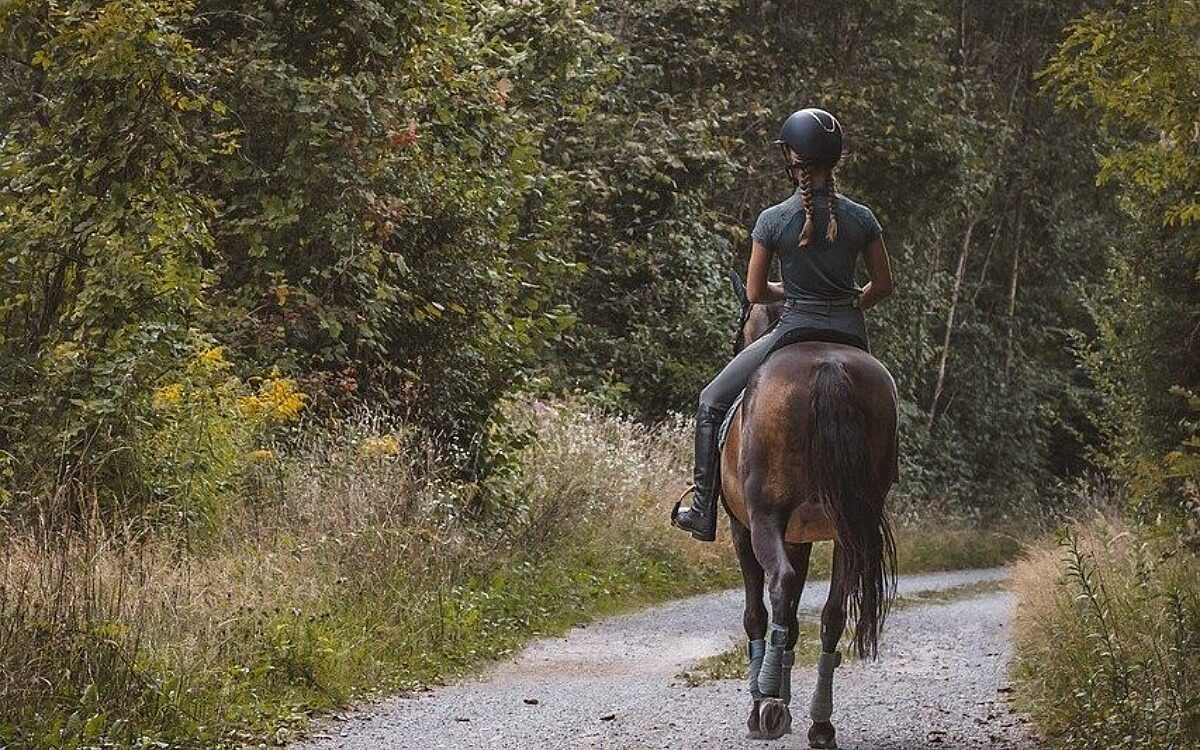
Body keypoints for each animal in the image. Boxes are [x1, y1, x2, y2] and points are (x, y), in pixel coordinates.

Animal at [719, 274, 899, 747]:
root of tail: (829, 367)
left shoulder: (744, 528)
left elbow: (757, 612)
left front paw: (764, 702)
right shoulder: (799, 537)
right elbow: (797, 619)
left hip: (763, 519)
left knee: (779, 586)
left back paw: (767, 704)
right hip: (851, 527)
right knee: (833, 613)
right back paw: (820, 722)